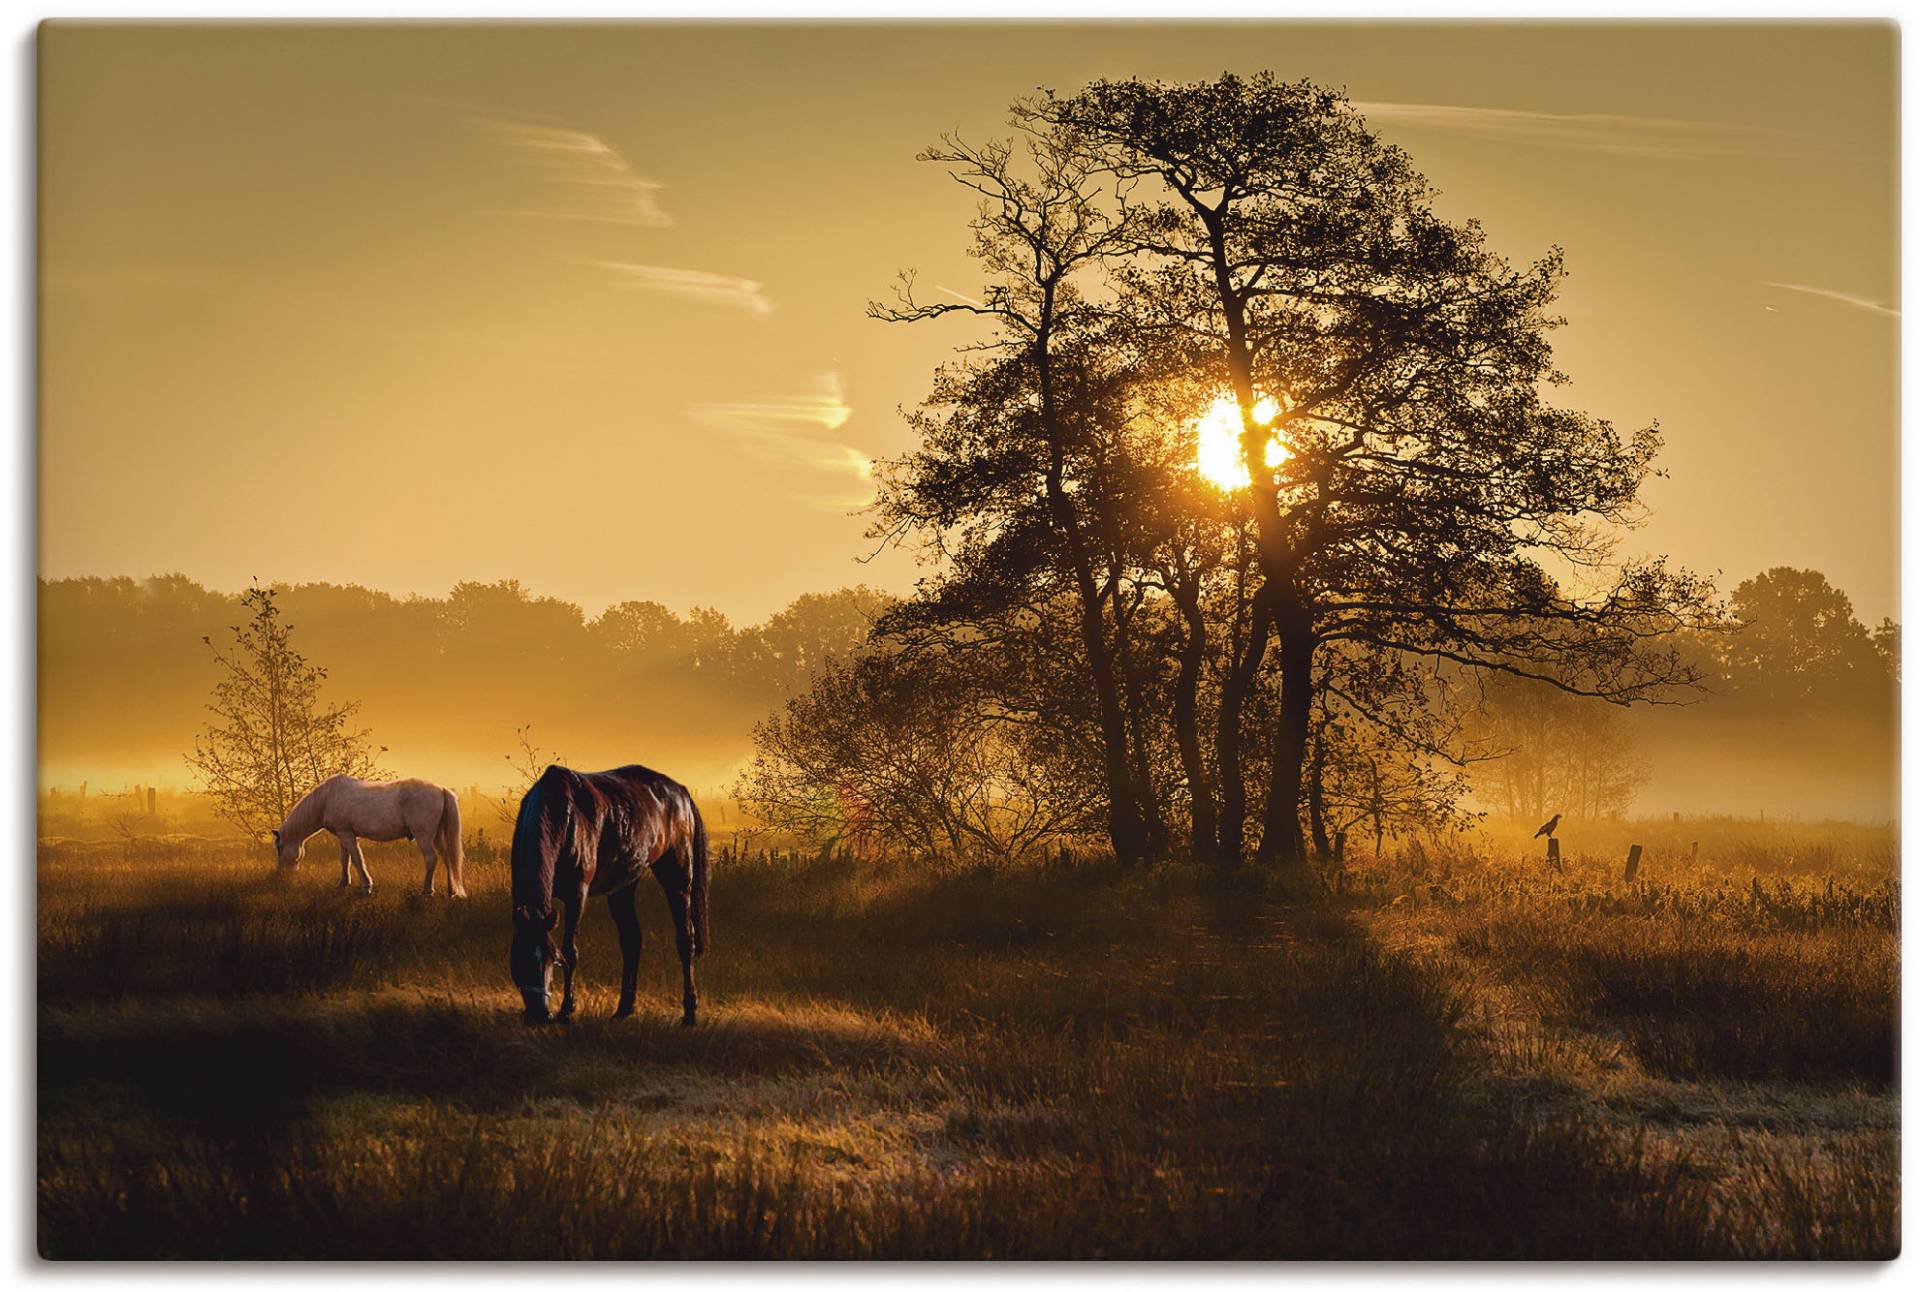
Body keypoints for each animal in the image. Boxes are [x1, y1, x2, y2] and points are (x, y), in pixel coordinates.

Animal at [272, 775, 466, 898]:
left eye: (279, 848)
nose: (281, 876)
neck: (326, 799)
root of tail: (441, 789)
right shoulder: (344, 834)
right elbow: (345, 859)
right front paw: (343, 883)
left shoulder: (347, 834)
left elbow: (357, 859)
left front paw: (366, 886)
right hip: (438, 836)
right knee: (447, 857)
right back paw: (451, 891)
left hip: (424, 836)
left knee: (431, 859)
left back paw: (427, 891)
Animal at [510, 760, 714, 1021]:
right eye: (518, 960)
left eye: (552, 959)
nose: (539, 1015)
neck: (564, 817)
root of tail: (682, 793)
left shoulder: (577, 895)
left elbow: (571, 951)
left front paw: (567, 1009)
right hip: (623, 887)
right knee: (631, 939)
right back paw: (624, 1008)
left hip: (678, 880)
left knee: (685, 940)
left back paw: (689, 1012)